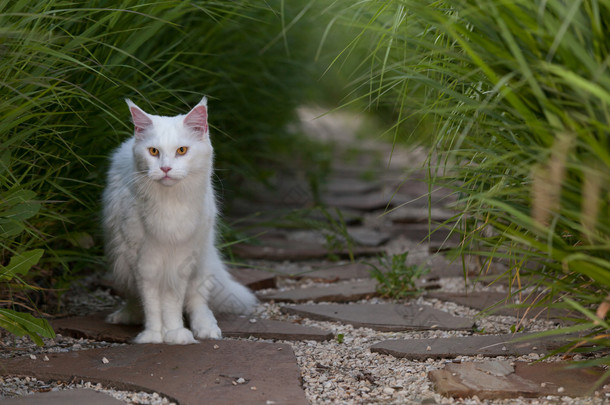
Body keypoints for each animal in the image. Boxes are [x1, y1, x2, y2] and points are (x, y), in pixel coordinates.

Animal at [103, 96, 255, 342]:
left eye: (182, 150)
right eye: (153, 151)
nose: (165, 168)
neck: (170, 204)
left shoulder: (180, 260)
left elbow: (172, 303)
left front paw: (175, 333)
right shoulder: (143, 262)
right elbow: (151, 302)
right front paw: (153, 335)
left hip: (202, 260)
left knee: (198, 301)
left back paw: (206, 329)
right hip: (121, 261)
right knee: (134, 296)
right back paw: (127, 316)